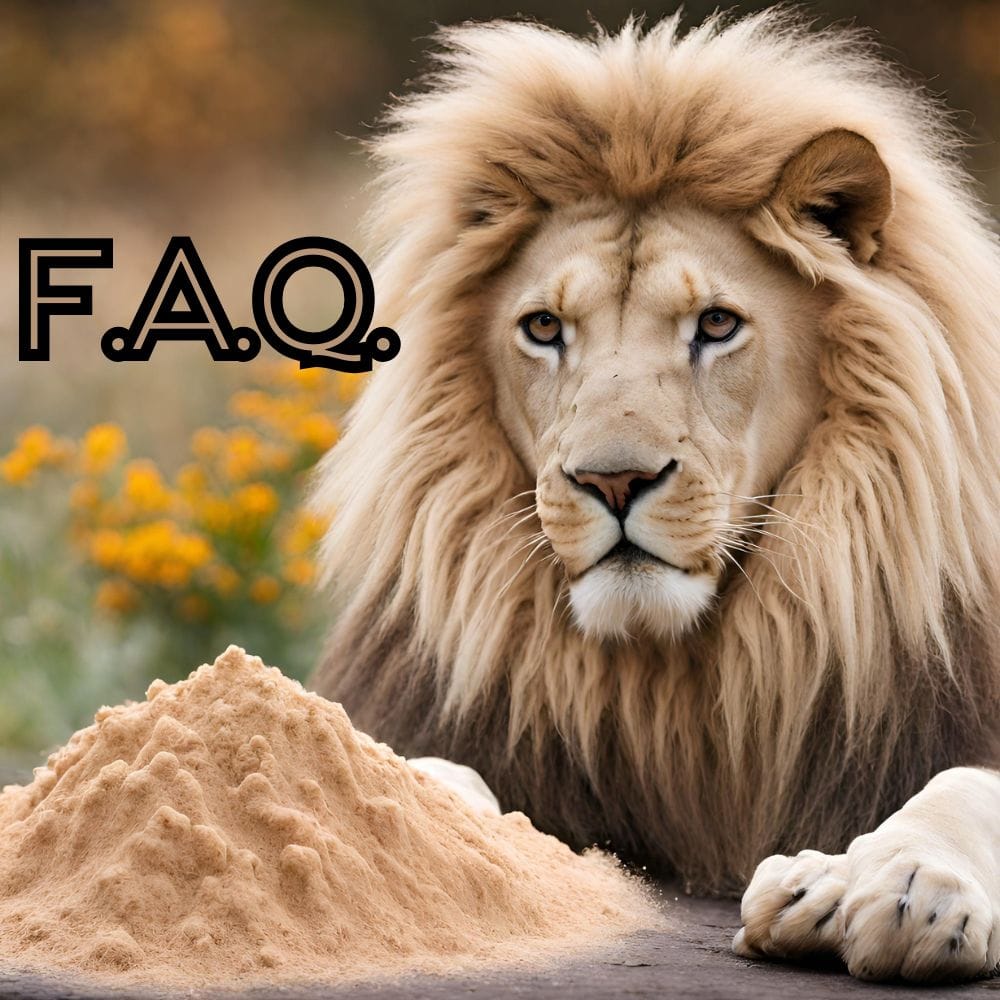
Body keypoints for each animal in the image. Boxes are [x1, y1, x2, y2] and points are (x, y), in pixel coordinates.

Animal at [310, 9, 1000, 983]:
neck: (676, 680)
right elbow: (422, 769)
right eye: (544, 328)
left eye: (716, 324)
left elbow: (964, 783)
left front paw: (898, 883)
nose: (614, 480)